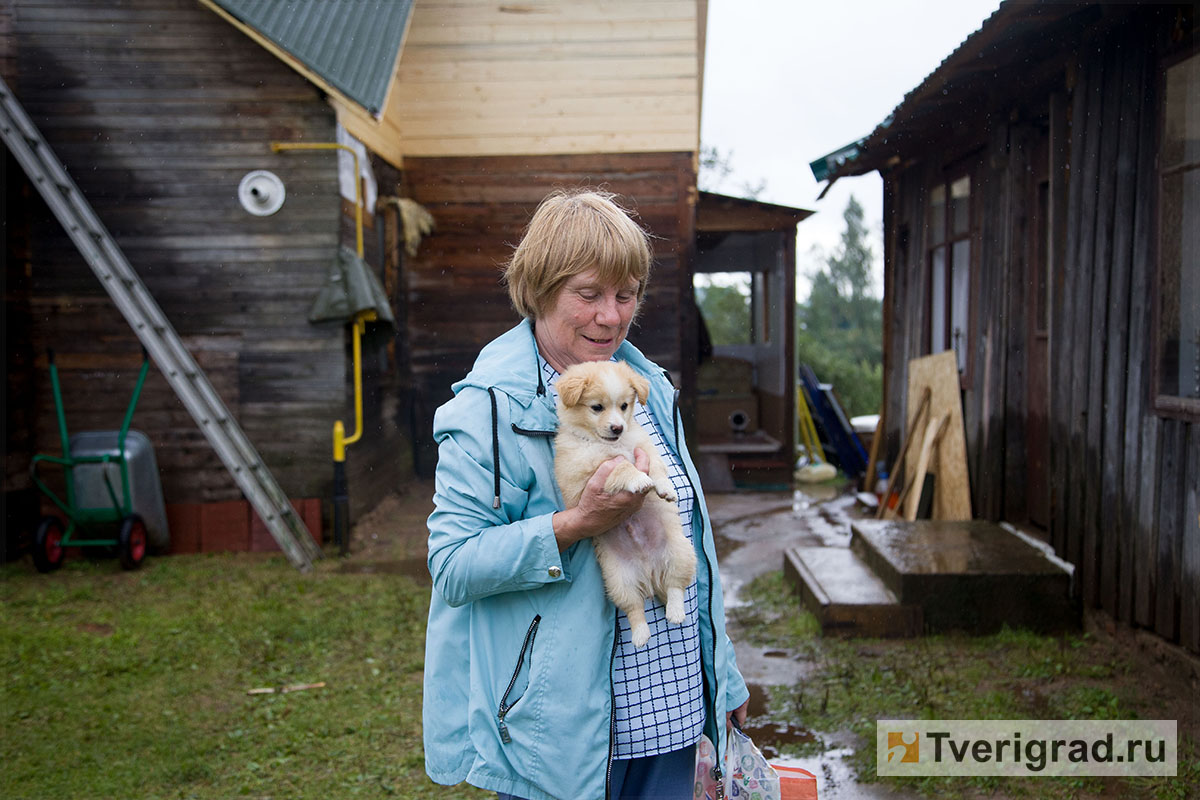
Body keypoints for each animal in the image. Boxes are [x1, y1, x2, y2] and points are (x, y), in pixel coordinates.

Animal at [549, 359, 696, 647]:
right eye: (597, 407)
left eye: (624, 406)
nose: (618, 428)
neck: (609, 444)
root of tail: (649, 574)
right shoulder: (586, 475)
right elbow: (623, 468)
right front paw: (639, 480)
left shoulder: (644, 447)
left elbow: (656, 467)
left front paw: (665, 489)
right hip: (618, 581)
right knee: (635, 608)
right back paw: (640, 635)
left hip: (680, 553)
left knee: (675, 586)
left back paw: (675, 612)